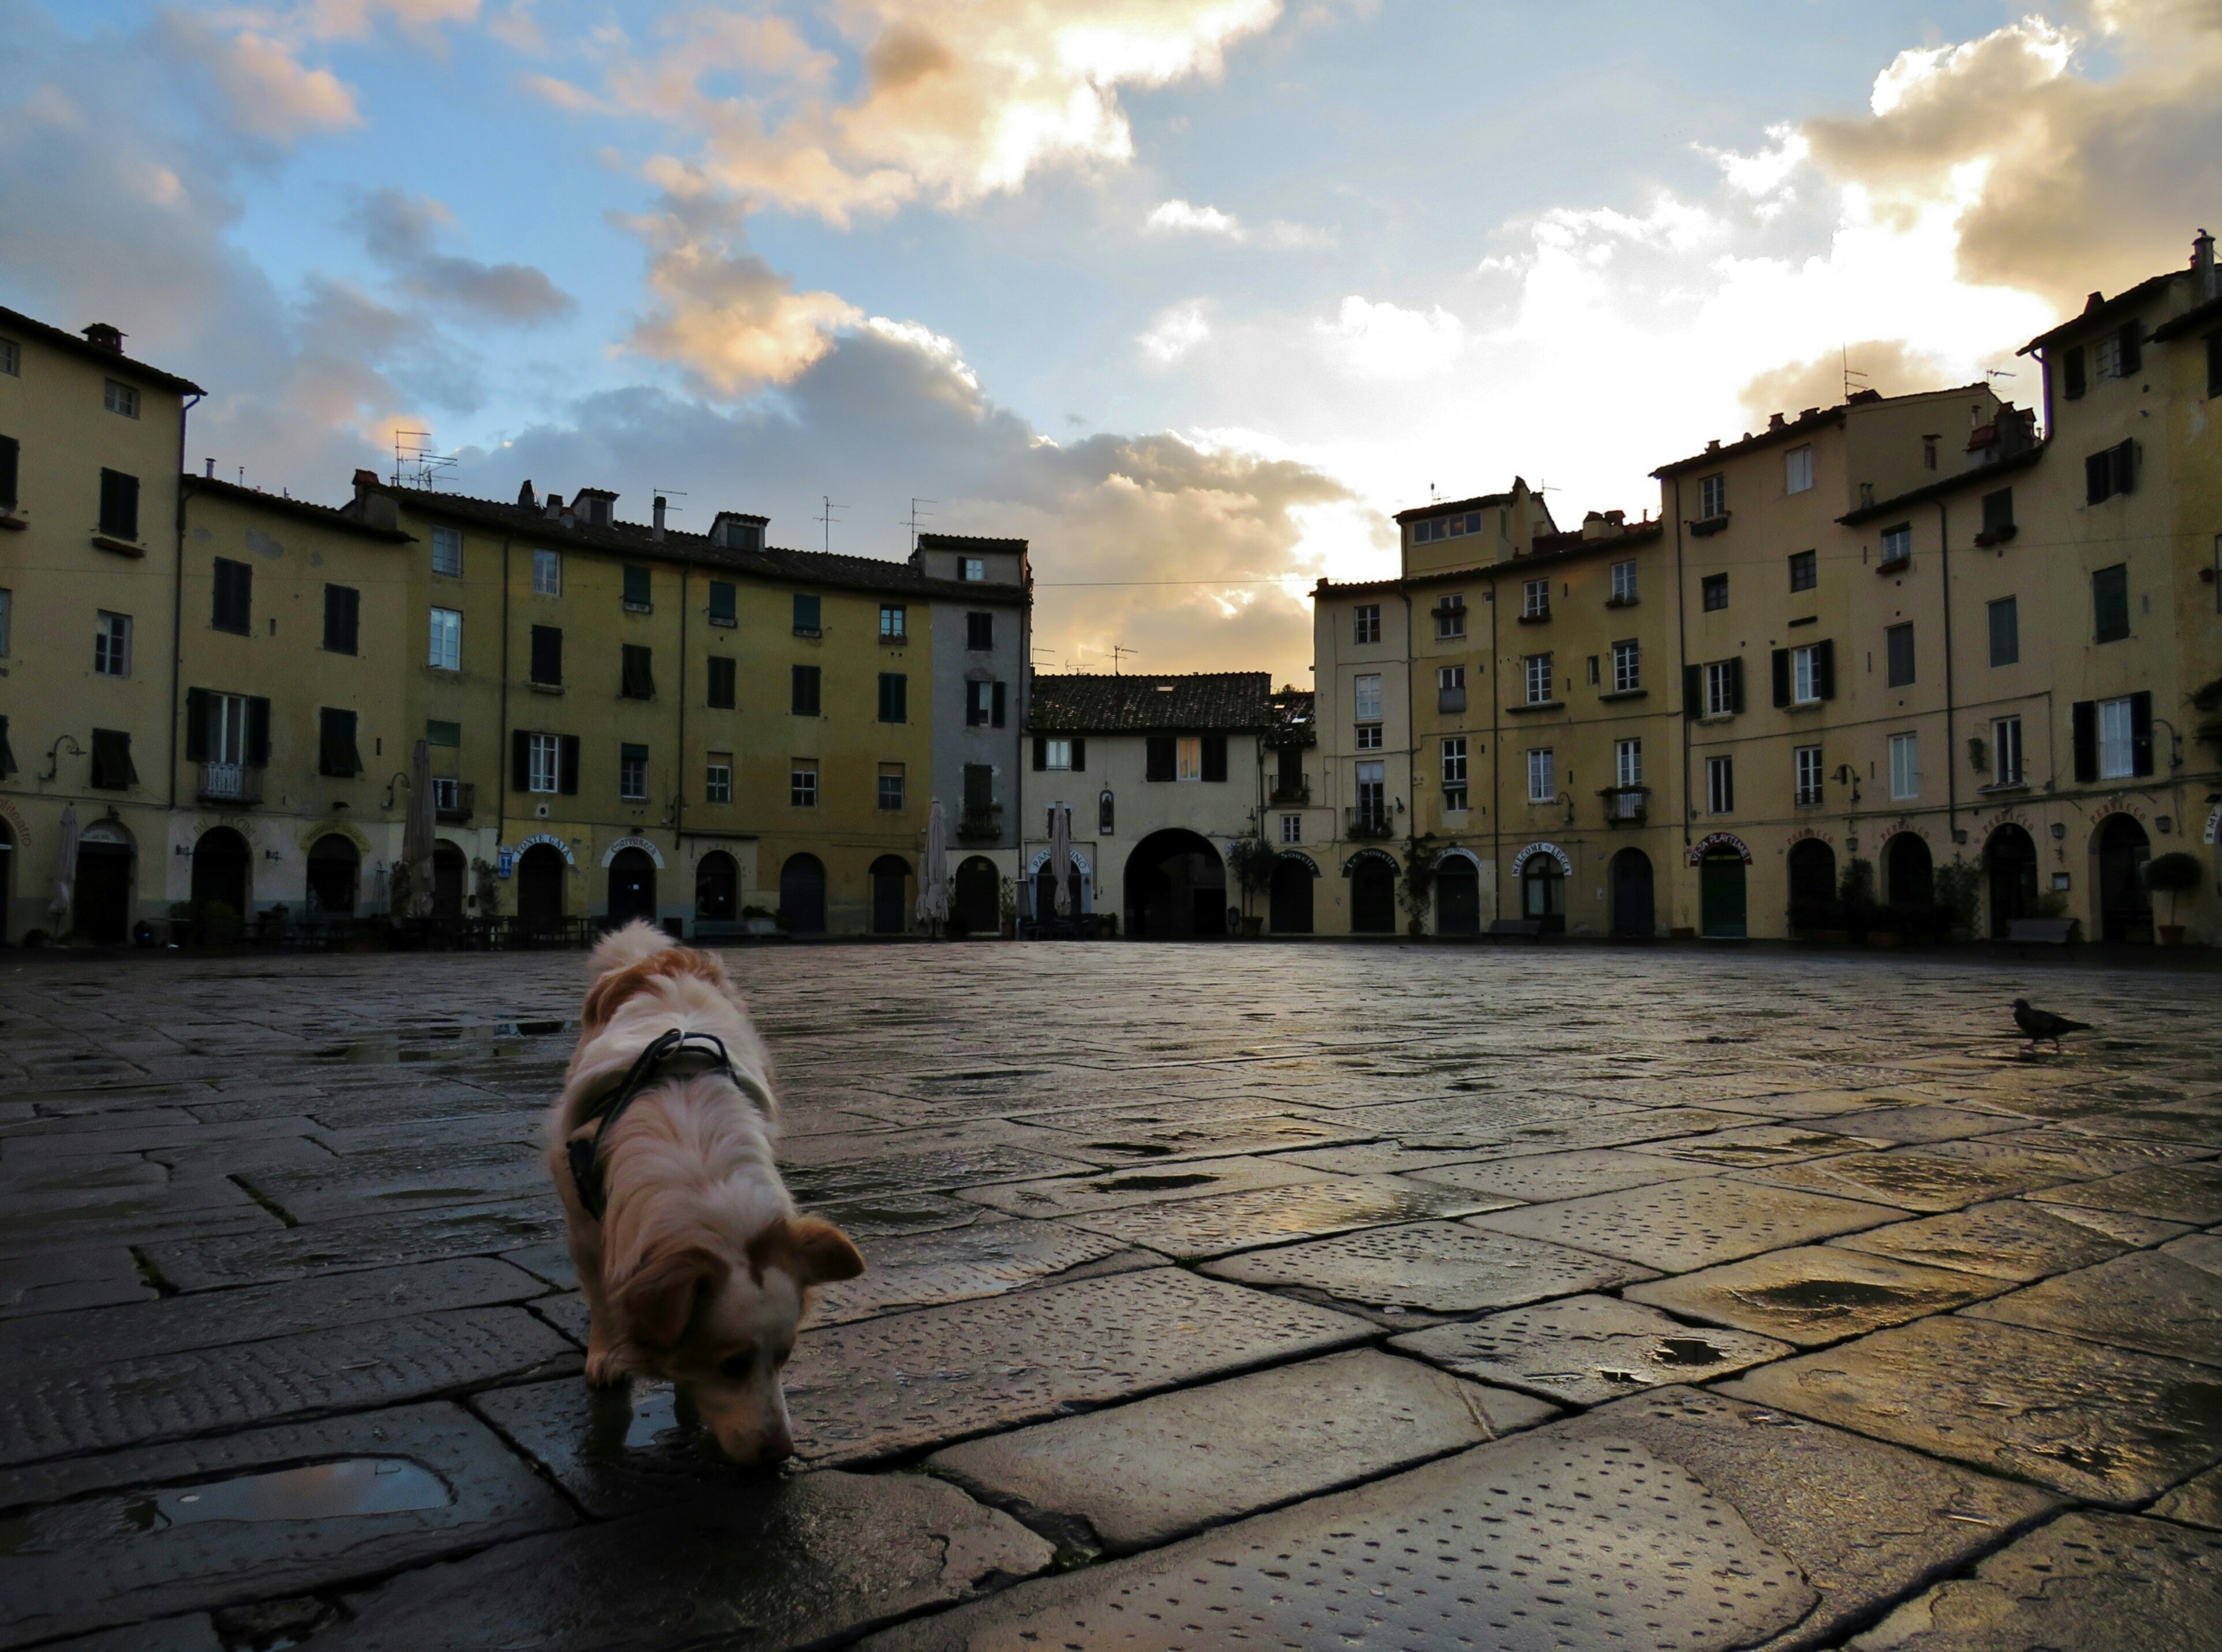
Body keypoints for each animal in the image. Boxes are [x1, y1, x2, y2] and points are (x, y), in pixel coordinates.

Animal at [551, 924, 862, 1465]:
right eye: (733, 1366)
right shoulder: (583, 1218)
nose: (781, 1452)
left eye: (785, 1357)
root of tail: (657, 959)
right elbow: (601, 1292)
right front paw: (606, 1353)